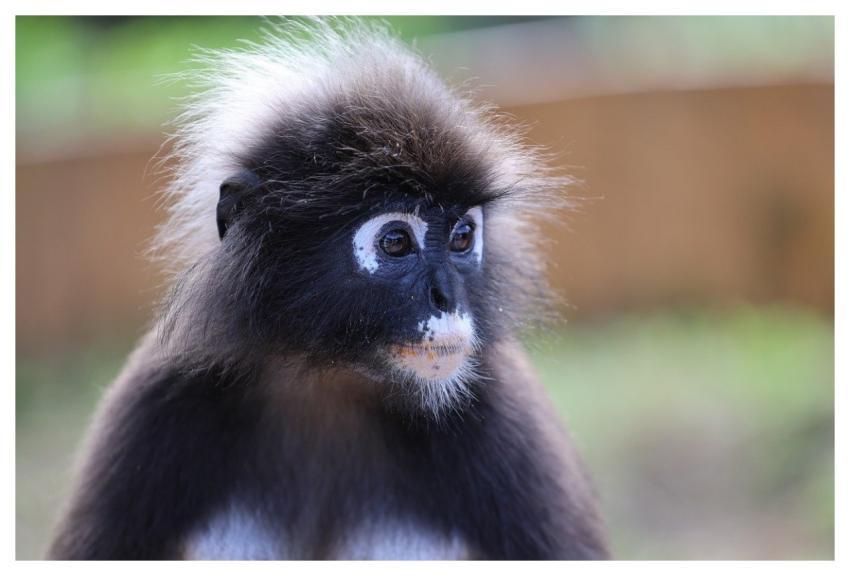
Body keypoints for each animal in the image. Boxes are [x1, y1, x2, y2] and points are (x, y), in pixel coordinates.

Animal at [47, 18, 609, 560]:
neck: (329, 378)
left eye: (462, 237)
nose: (448, 297)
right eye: (396, 242)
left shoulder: (504, 408)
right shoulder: (155, 398)